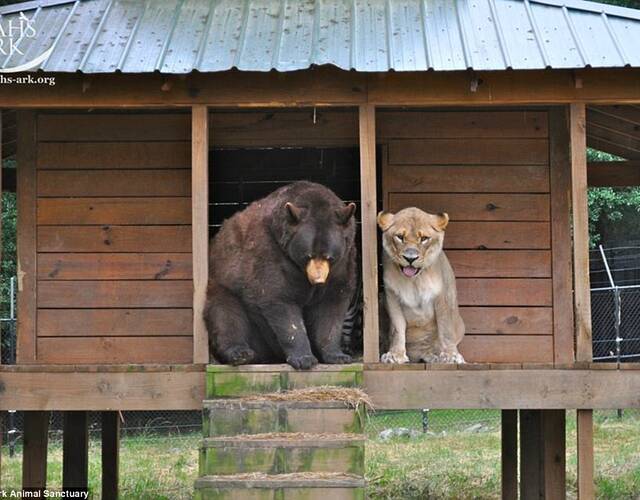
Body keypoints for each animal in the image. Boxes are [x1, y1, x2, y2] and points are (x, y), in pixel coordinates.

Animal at [205, 180, 358, 368]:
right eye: (308, 256)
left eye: (329, 257)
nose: (317, 279)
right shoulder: (269, 252)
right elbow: (279, 298)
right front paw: (303, 358)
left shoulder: (343, 262)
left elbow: (332, 304)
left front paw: (337, 355)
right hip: (224, 284)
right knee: (226, 315)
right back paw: (240, 353)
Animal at [378, 207, 462, 364]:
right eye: (400, 237)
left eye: (424, 239)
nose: (410, 258)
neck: (415, 280)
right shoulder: (391, 296)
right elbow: (397, 328)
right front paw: (395, 355)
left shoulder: (443, 296)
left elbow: (446, 329)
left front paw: (451, 356)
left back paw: (434, 356)